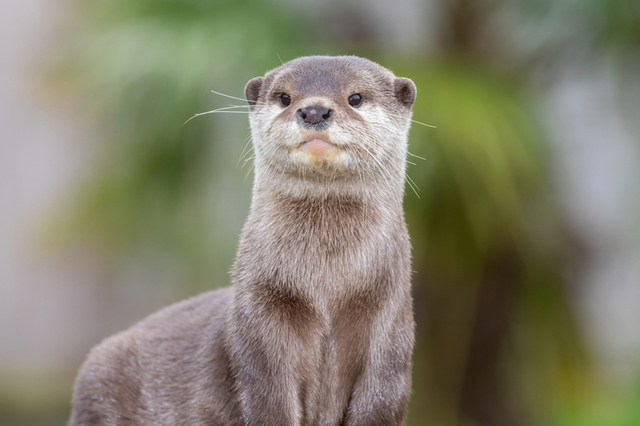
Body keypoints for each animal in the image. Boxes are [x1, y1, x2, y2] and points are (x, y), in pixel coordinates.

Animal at [70, 56, 418, 426]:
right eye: (284, 97)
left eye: (355, 98)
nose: (314, 111)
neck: (325, 289)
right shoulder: (260, 318)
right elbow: (268, 397)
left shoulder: (388, 322)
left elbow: (379, 398)